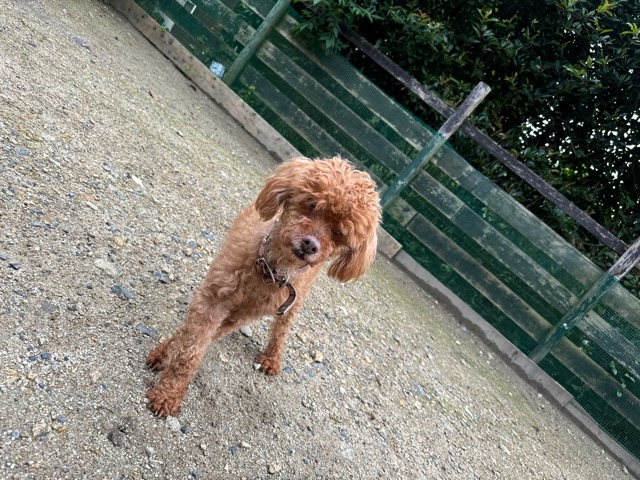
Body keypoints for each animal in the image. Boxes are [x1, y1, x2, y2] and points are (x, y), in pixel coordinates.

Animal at [146, 156, 381, 416]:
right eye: (312, 204)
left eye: (340, 233)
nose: (310, 245)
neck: (268, 270)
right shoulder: (215, 297)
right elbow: (190, 345)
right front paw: (164, 361)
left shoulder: (241, 314)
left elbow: (197, 346)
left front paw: (168, 392)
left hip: (295, 301)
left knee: (281, 330)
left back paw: (271, 358)